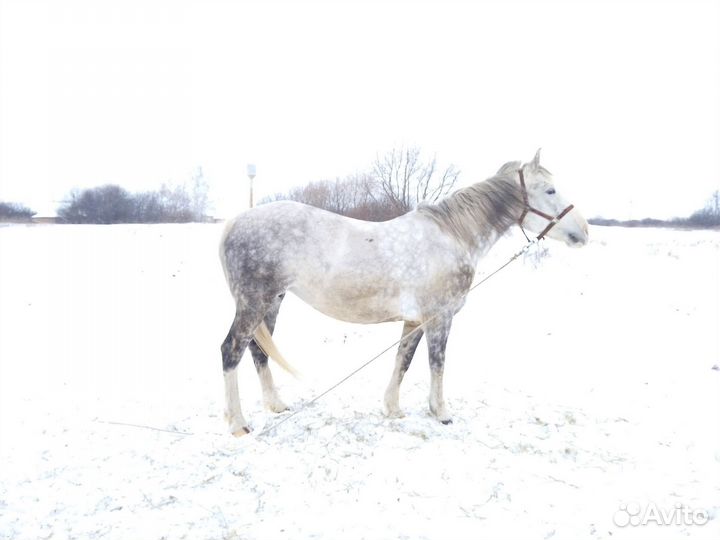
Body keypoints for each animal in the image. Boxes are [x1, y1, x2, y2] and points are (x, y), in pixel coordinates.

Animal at [219, 150, 589, 436]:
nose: (583, 232)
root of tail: (234, 222)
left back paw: (276, 405)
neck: (452, 235)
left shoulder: (414, 321)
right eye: (551, 190)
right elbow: (437, 363)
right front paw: (441, 412)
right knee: (231, 351)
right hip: (253, 303)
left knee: (258, 351)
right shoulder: (440, 317)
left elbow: (403, 360)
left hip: (272, 302)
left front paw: (393, 409)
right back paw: (238, 424)